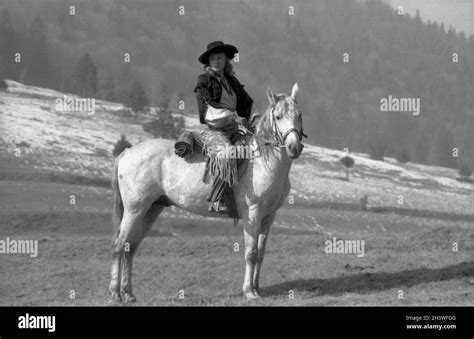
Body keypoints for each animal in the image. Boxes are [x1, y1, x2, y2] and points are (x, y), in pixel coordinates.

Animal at [108, 83, 304, 304]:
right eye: (278, 116)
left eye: (299, 115)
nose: (294, 147)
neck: (262, 161)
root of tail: (127, 152)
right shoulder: (252, 214)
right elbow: (251, 253)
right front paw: (249, 292)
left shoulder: (268, 217)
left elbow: (261, 254)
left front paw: (257, 289)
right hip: (134, 210)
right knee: (118, 245)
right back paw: (115, 294)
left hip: (150, 210)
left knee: (130, 247)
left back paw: (128, 293)